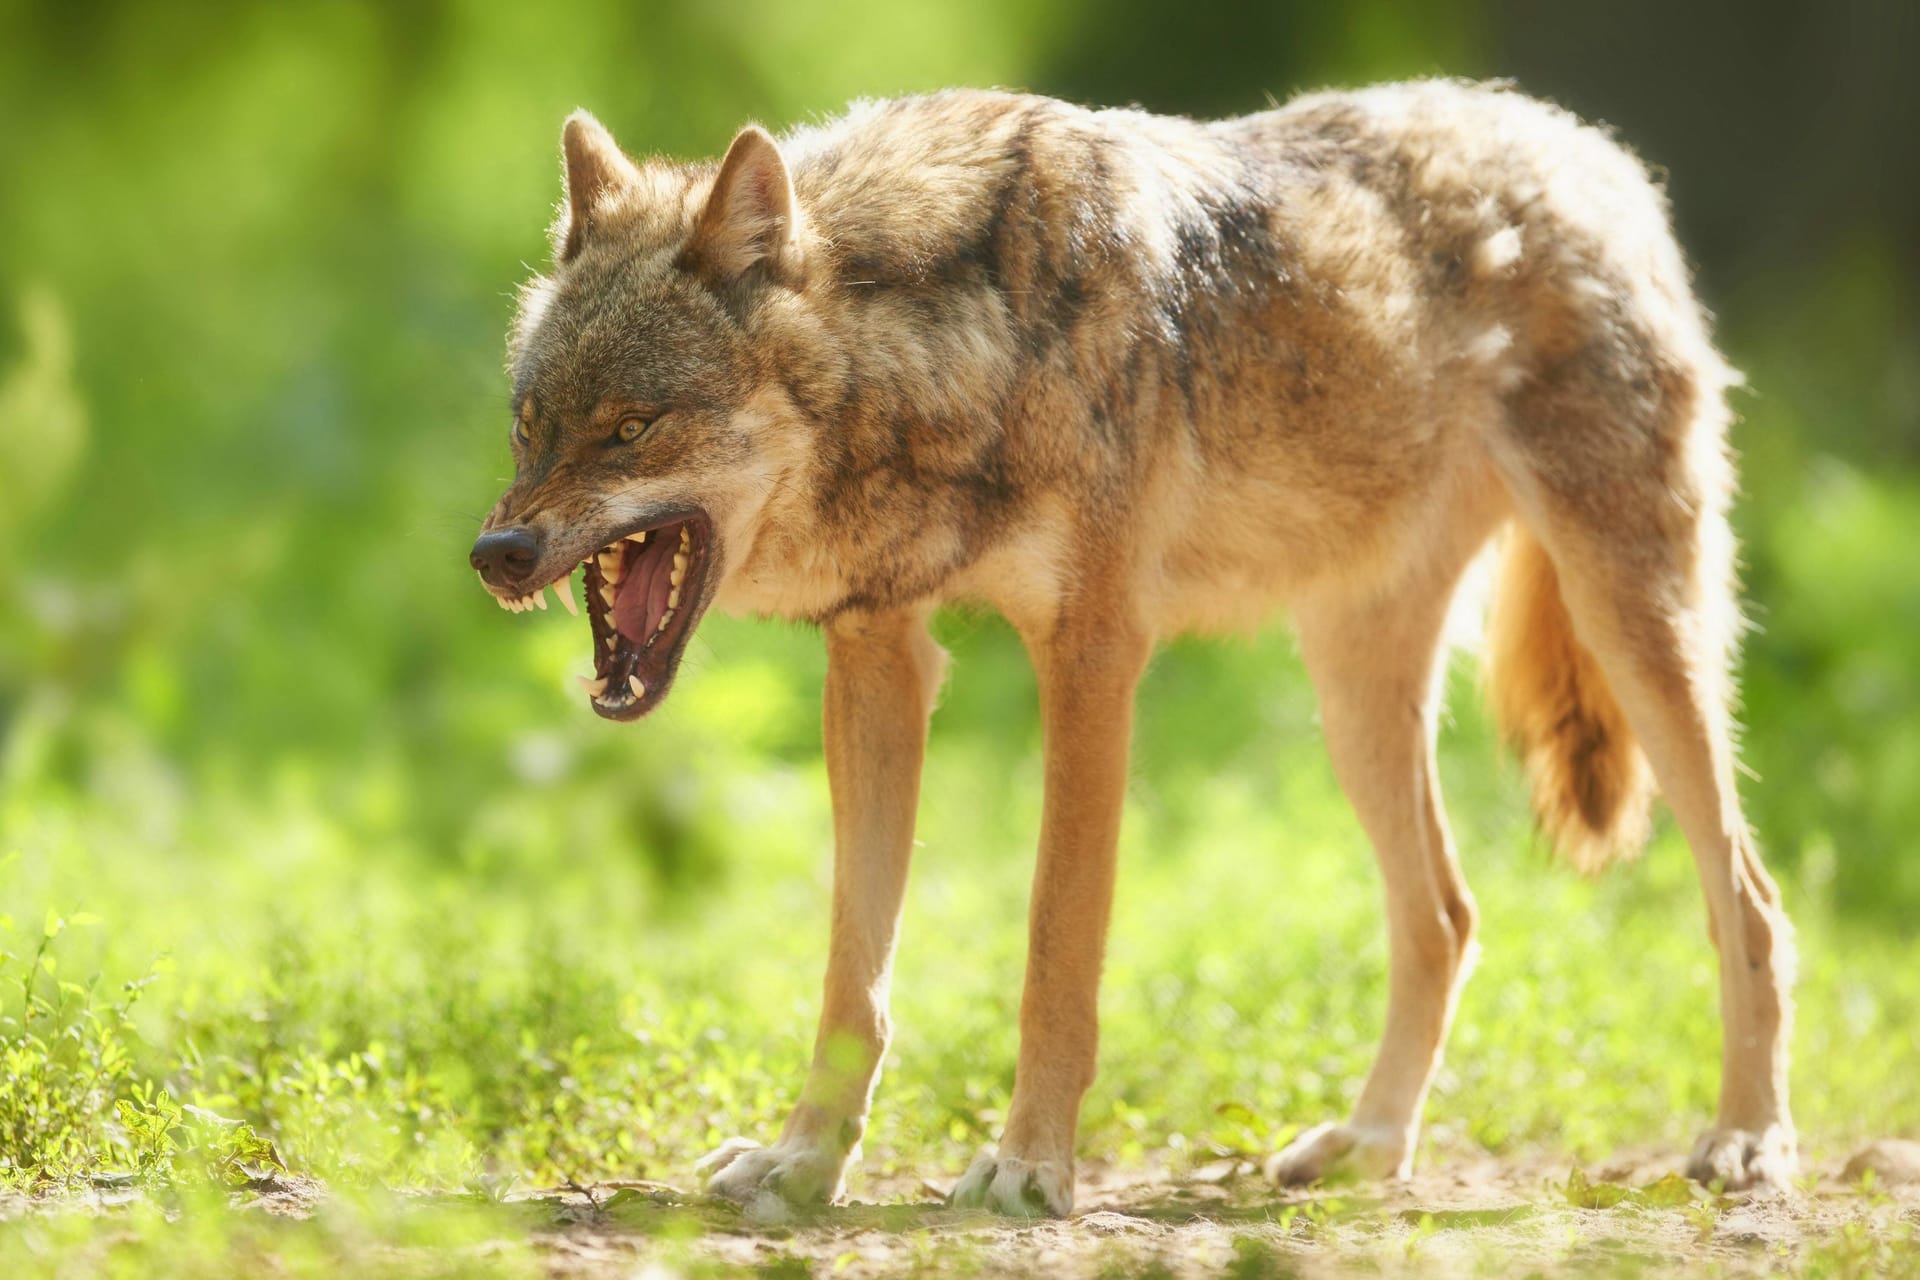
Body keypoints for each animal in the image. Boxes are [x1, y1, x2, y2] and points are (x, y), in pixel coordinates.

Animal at [472, 82, 1789, 1220]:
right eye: (530, 426)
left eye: (633, 427)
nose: (497, 550)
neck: (962, 348)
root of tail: (1591, 146)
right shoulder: (881, 659)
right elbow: (855, 975)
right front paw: (803, 1163)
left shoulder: (1092, 655)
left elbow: (1056, 947)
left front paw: (1026, 1169)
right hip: (1353, 696)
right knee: (1449, 913)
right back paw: (1370, 1145)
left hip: (1635, 628)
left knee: (1749, 898)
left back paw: (1745, 1143)